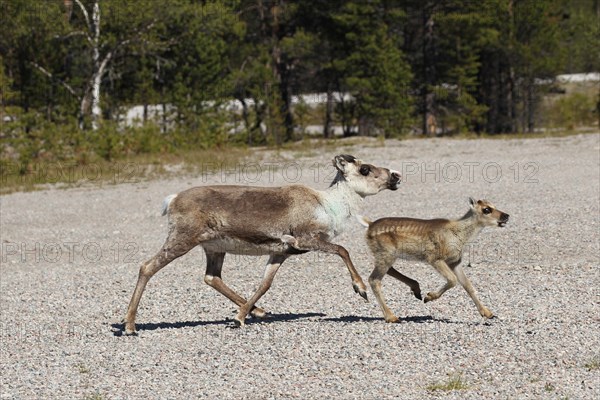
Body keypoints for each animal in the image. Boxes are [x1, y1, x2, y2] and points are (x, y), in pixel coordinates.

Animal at [358, 198, 508, 324]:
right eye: (486, 209)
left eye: (494, 205)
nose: (506, 216)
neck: (458, 234)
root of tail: (369, 225)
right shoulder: (434, 258)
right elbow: (453, 280)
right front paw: (428, 297)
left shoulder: (455, 262)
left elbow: (468, 285)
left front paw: (488, 313)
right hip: (386, 254)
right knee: (374, 279)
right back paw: (392, 317)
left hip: (387, 255)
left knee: (388, 271)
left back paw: (416, 290)